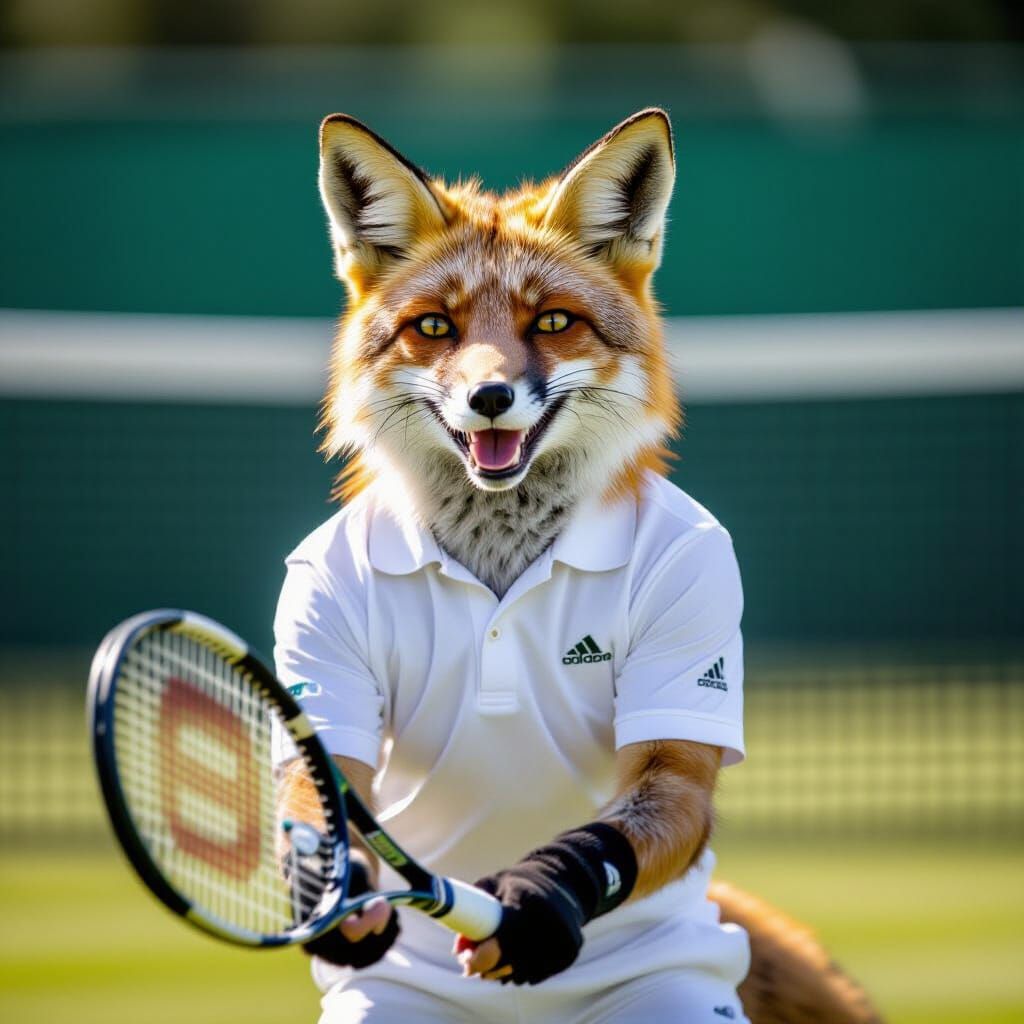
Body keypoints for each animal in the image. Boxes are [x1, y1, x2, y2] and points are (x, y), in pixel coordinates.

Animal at [292, 107, 884, 1023]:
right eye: (436, 327)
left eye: (551, 322)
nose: (490, 398)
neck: (500, 557)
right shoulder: (311, 598)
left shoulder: (699, 600)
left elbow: (664, 782)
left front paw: (537, 902)